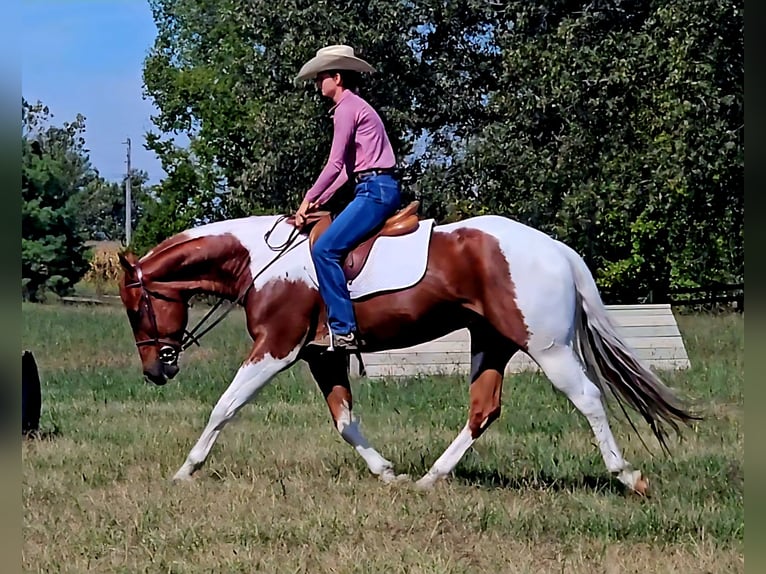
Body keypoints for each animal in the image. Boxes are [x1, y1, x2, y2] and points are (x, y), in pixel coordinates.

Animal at [117, 205, 696, 494]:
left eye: (137, 306)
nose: (154, 370)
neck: (262, 260)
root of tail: (557, 249)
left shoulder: (276, 349)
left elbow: (224, 406)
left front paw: (186, 471)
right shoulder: (322, 356)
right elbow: (345, 421)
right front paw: (386, 472)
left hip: (547, 347)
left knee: (589, 399)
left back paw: (629, 476)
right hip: (492, 344)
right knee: (483, 410)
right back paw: (429, 479)